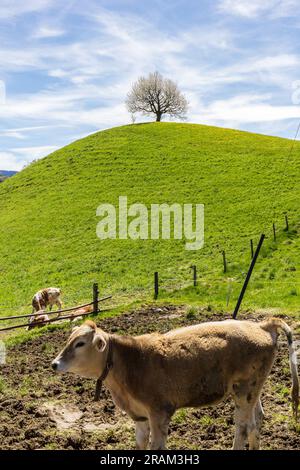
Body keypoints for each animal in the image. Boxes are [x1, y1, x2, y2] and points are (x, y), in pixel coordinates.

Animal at [51, 318, 298, 450]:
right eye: (69, 339)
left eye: (80, 343)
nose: (54, 364)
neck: (130, 362)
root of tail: (263, 325)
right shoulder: (140, 416)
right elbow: (141, 443)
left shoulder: (159, 412)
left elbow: (156, 446)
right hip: (253, 390)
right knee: (256, 421)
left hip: (243, 390)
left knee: (244, 427)